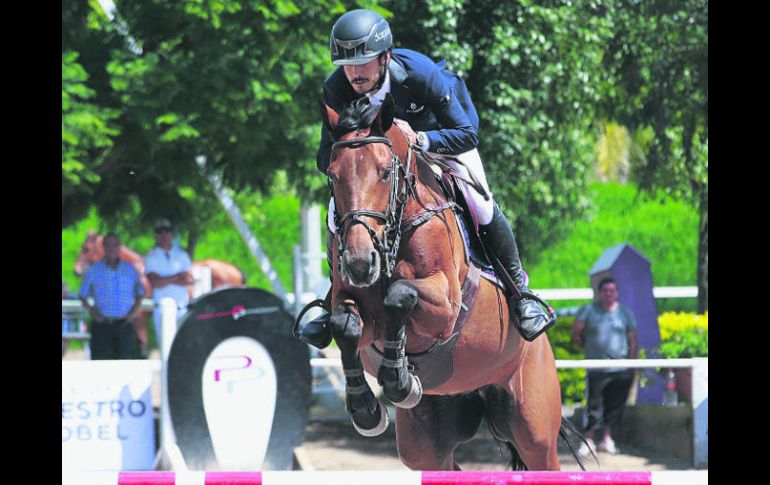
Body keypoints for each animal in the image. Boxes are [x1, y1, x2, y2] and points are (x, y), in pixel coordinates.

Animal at [314, 93, 584, 468]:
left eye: (385, 172)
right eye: (332, 175)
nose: (359, 262)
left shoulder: (445, 307)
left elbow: (399, 295)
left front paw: (398, 380)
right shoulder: (355, 307)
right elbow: (345, 325)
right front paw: (367, 409)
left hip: (535, 429)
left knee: (541, 454)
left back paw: (530, 314)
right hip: (427, 443)